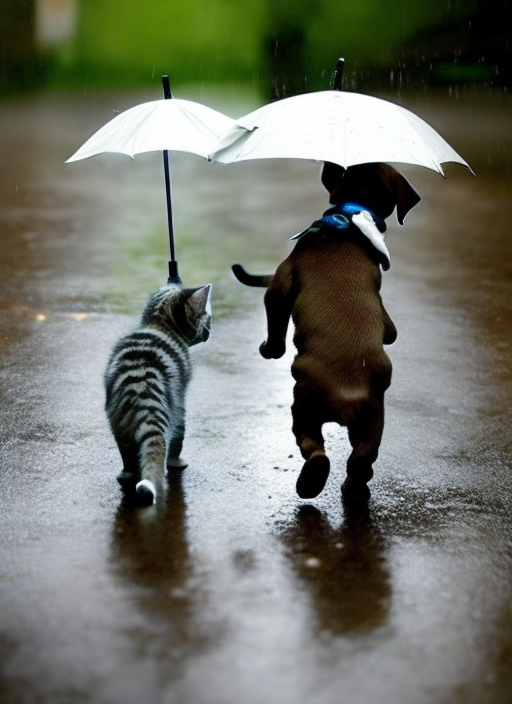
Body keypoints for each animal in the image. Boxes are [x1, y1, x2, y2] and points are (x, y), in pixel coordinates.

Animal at [105, 284, 211, 504]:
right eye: (208, 318)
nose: (209, 332)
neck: (158, 322)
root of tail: (140, 383)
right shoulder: (182, 400)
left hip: (118, 421)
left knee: (127, 455)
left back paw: (126, 474)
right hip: (174, 409)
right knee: (174, 441)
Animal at [235, 161, 420, 500]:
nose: (327, 164)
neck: (351, 217)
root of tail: (348, 395)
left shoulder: (280, 284)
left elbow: (276, 320)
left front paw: (270, 349)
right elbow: (391, 330)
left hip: (303, 408)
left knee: (315, 451)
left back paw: (309, 482)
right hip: (372, 423)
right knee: (360, 460)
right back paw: (355, 490)